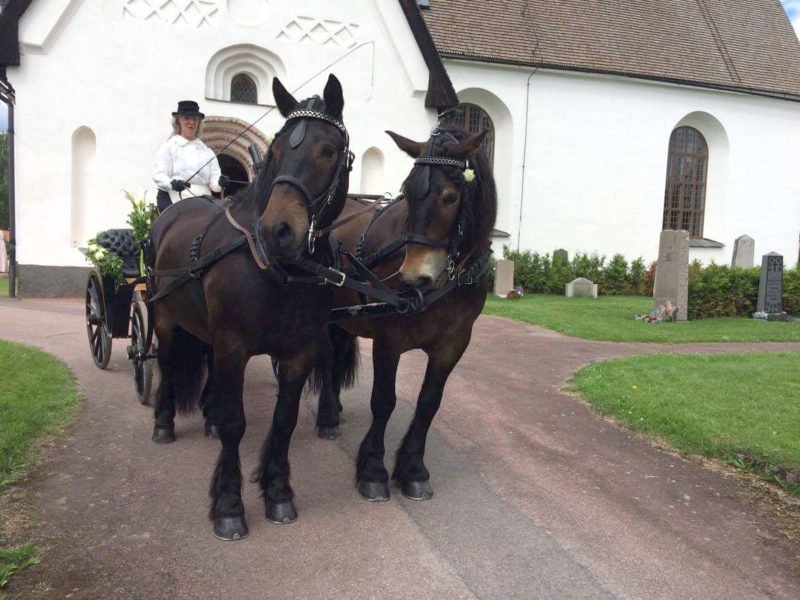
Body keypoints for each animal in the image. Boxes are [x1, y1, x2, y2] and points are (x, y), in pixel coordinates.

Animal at [148, 74, 354, 540]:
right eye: (274, 153)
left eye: (328, 150)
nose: (278, 230)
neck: (277, 270)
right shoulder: (233, 346)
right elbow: (235, 423)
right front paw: (228, 505)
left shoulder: (298, 352)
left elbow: (284, 420)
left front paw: (278, 492)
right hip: (165, 319)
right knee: (167, 365)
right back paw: (164, 422)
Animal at [310, 125, 494, 502]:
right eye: (408, 192)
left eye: (450, 197)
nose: (412, 277)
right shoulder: (389, 340)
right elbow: (383, 400)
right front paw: (373, 470)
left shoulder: (453, 344)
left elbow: (429, 403)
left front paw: (413, 469)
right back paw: (327, 416)